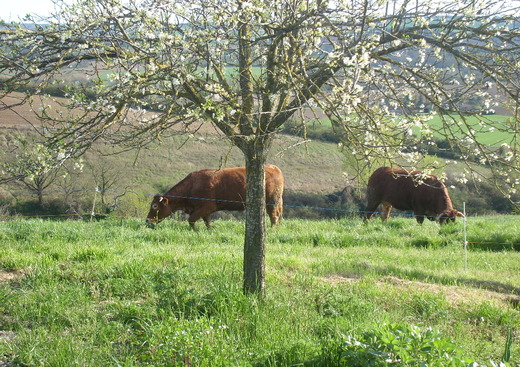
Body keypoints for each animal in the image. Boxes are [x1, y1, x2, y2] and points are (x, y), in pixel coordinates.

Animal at [146, 165, 284, 230]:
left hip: (271, 202)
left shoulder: (206, 207)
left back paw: (272, 229)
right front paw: (209, 231)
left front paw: (197, 232)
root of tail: (272, 167)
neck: (192, 185)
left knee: (274, 216)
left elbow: (191, 220)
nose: (147, 220)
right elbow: (207, 223)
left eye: (155, 206)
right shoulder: (205, 211)